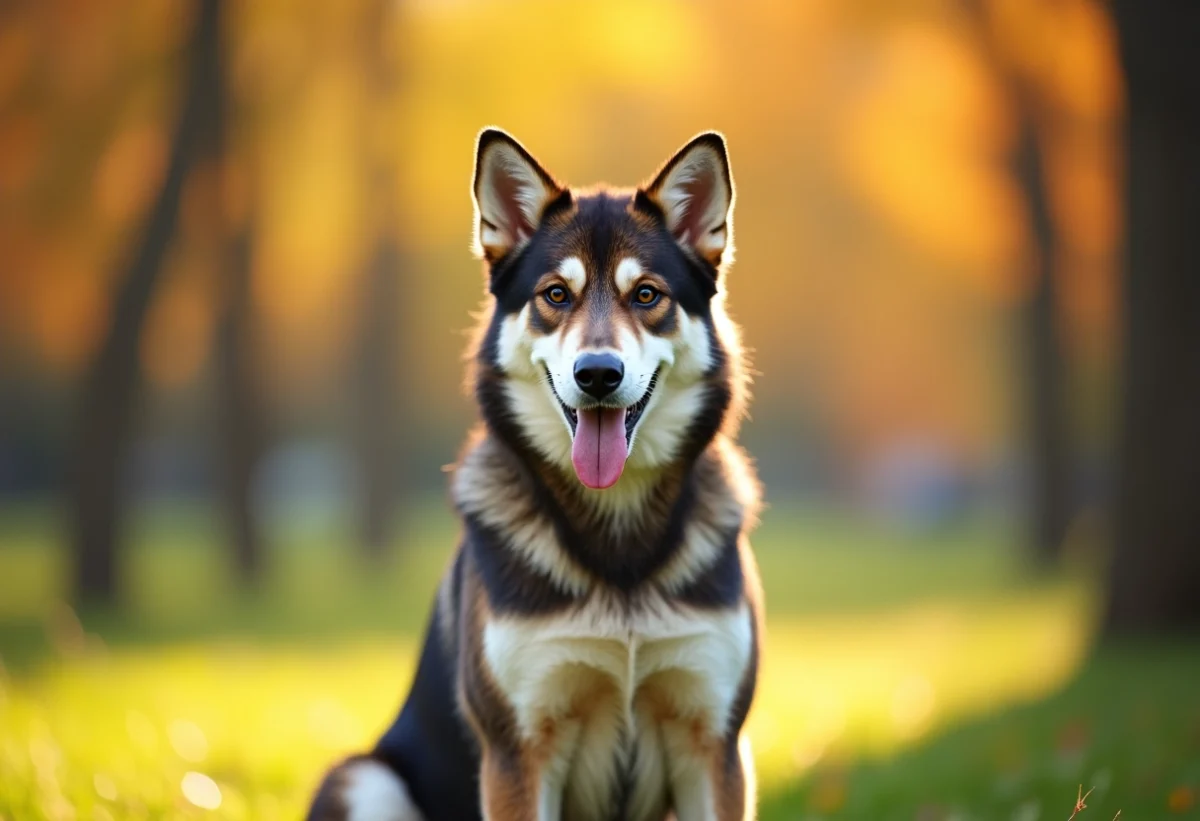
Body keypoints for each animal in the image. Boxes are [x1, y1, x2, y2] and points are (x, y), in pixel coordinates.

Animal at [307, 128, 758, 820]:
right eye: (555, 295)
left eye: (646, 295)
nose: (596, 374)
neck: (617, 545)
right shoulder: (518, 751)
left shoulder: (713, 740)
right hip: (363, 779)